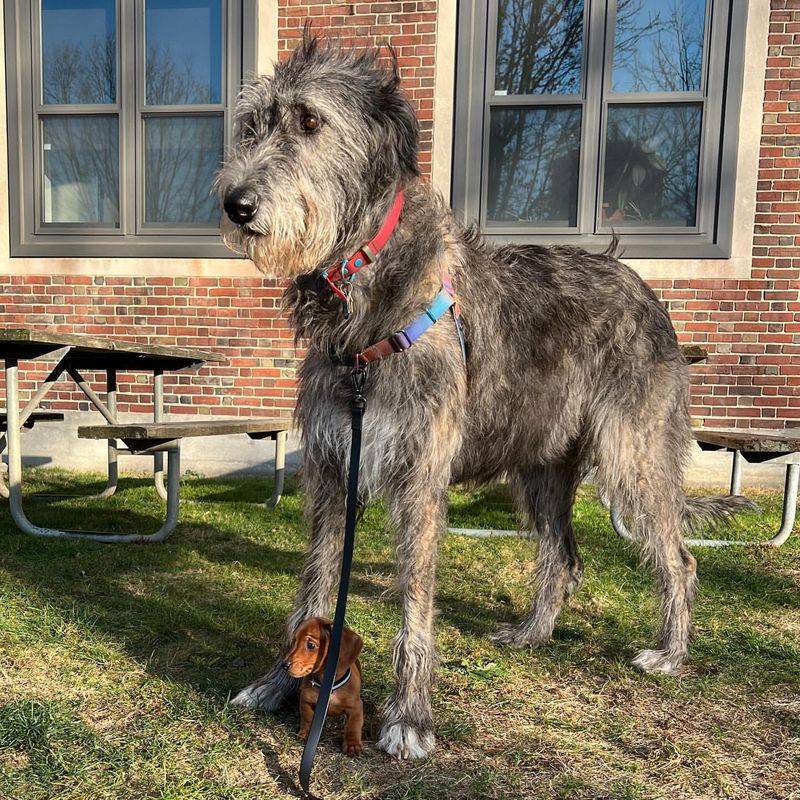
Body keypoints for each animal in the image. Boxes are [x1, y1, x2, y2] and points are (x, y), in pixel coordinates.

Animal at [284, 616, 366, 752]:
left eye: (311, 645)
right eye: (294, 640)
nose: (284, 665)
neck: (329, 685)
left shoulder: (356, 706)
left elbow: (354, 725)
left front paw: (352, 744)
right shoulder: (305, 701)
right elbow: (307, 718)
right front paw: (306, 733)